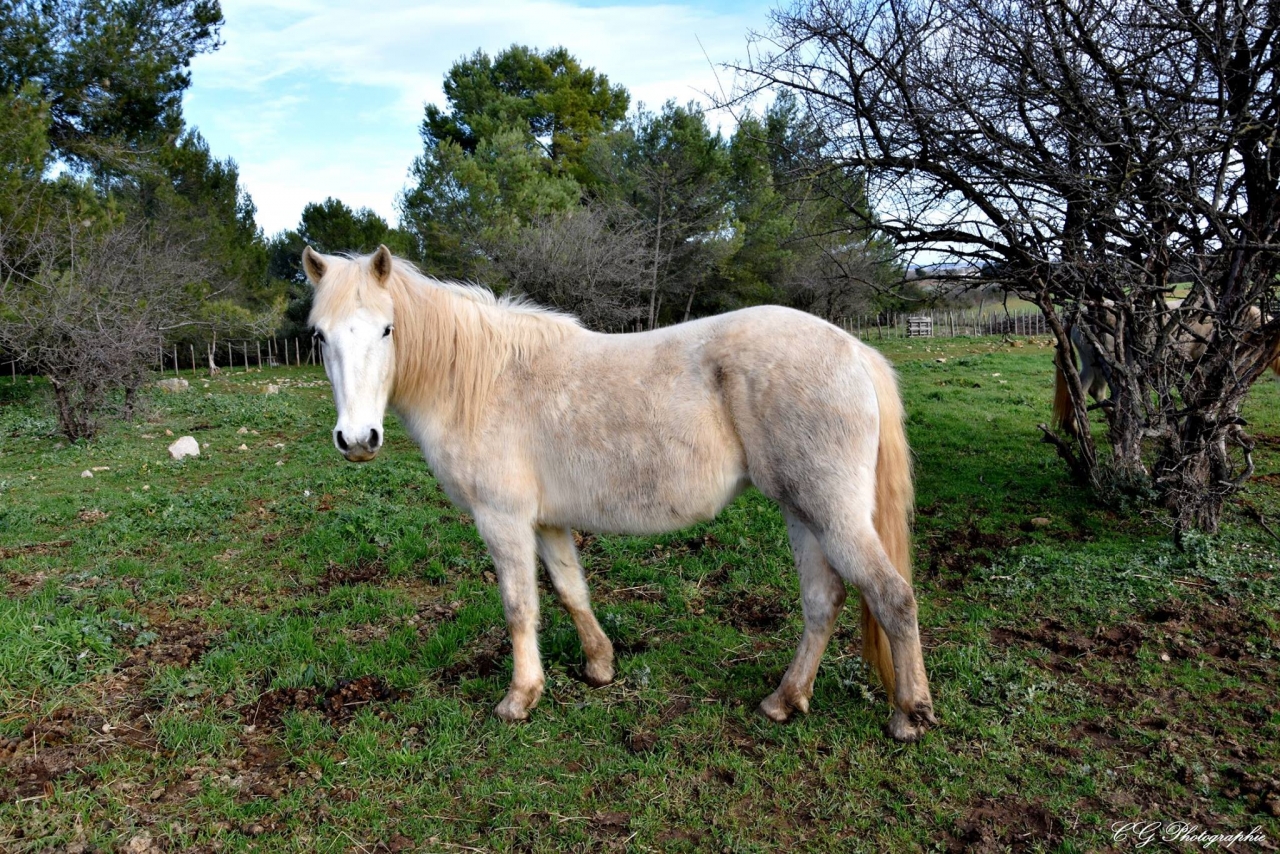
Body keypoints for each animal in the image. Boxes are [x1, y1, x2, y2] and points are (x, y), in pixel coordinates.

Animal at [302, 245, 937, 742]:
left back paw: (909, 715)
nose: (357, 440)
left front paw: (519, 698)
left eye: (387, 329)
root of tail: (855, 351)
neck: (483, 381)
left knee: (893, 598)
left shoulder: (502, 520)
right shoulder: (547, 522)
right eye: (320, 336)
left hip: (831, 514)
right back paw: (785, 700)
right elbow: (570, 591)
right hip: (803, 512)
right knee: (822, 602)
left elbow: (519, 606)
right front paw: (599, 666)